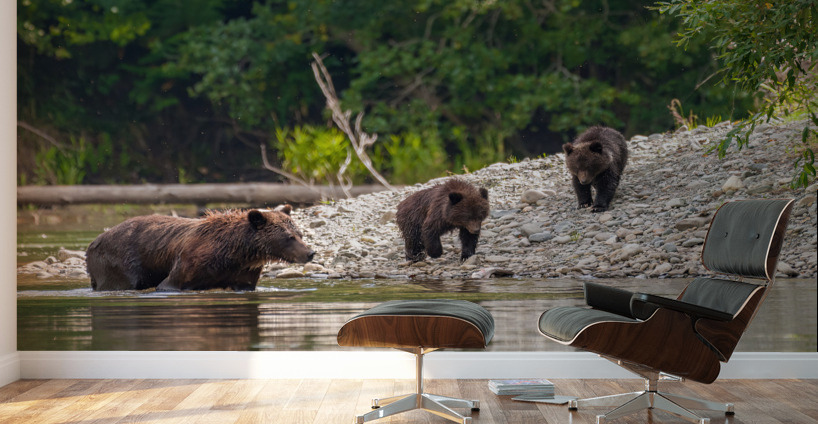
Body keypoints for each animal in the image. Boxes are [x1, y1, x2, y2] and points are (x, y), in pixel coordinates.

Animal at [86, 205, 314, 291]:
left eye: (300, 234)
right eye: (289, 237)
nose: (310, 253)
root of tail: (92, 242)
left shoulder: (243, 272)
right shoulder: (192, 261)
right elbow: (169, 284)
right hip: (120, 261)